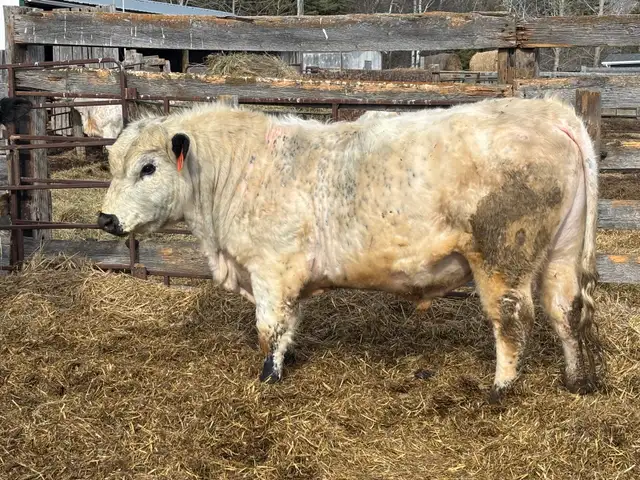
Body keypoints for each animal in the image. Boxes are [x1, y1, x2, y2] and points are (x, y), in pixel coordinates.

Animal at [97, 96, 603, 403]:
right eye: (112, 163)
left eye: (147, 168)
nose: (105, 219)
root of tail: (552, 111)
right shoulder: (290, 274)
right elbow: (289, 324)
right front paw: (286, 361)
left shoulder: (270, 268)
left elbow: (268, 328)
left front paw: (267, 378)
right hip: (561, 253)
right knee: (564, 310)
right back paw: (576, 379)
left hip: (503, 257)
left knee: (513, 319)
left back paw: (500, 388)